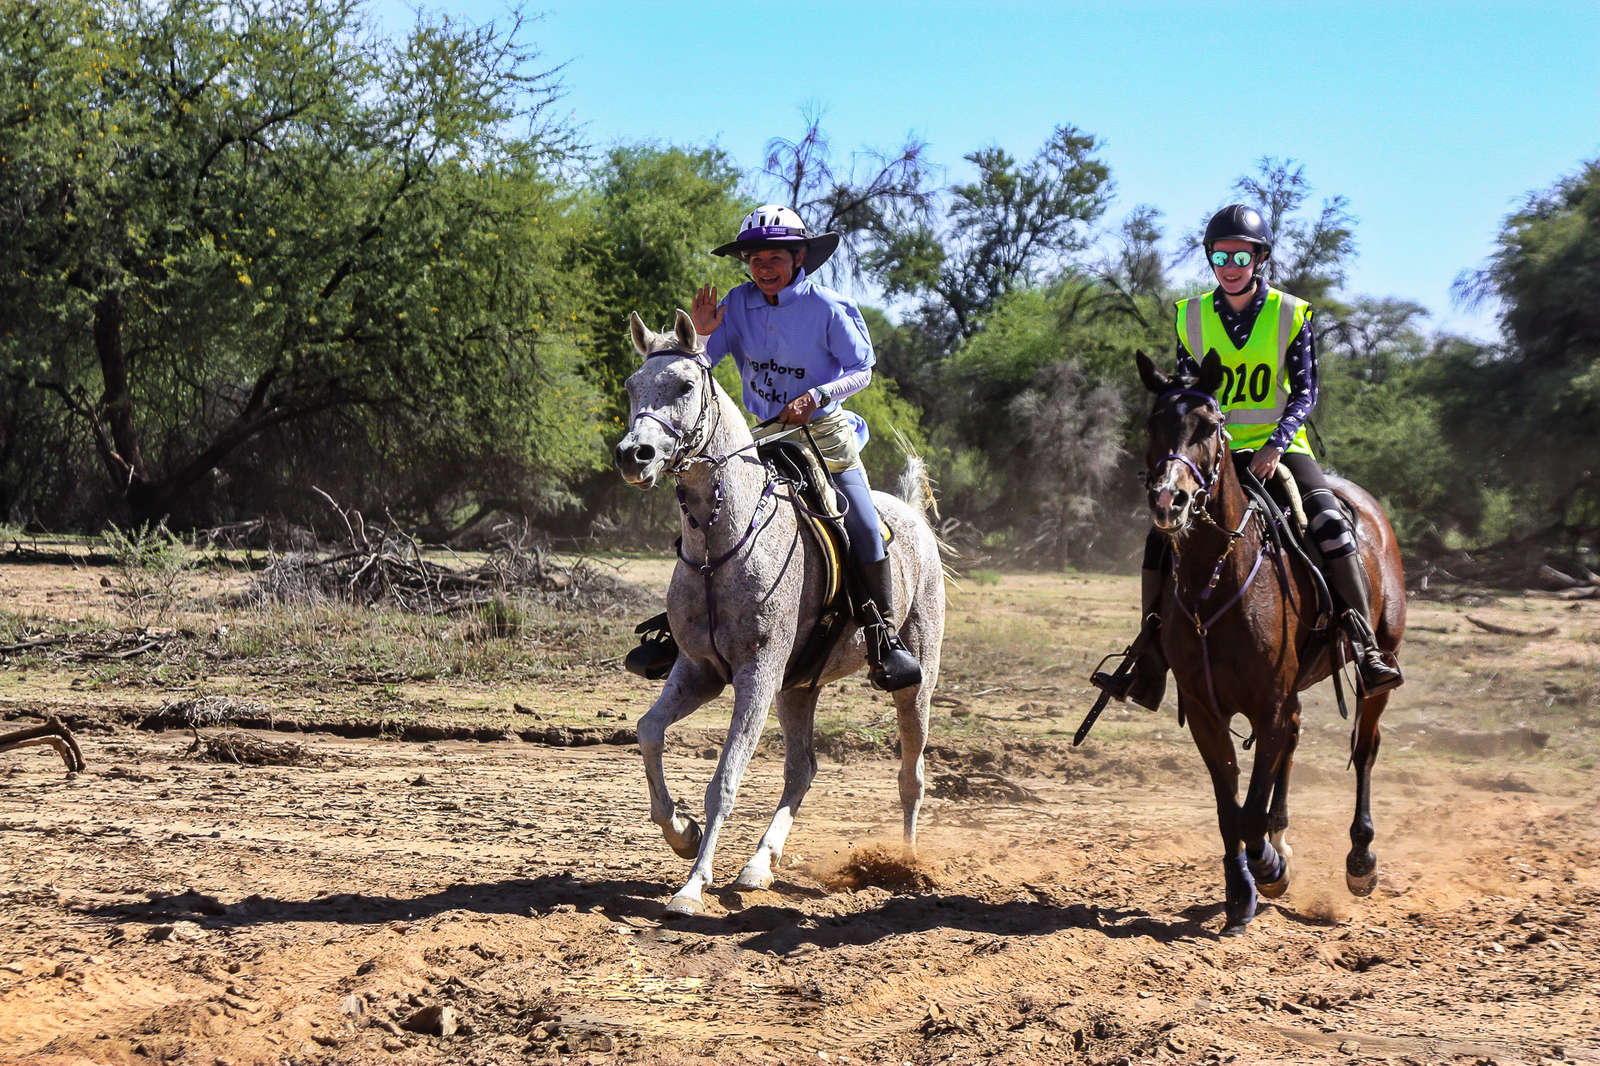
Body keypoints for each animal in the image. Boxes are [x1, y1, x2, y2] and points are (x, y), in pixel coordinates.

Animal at [612, 310, 946, 917]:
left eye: (686, 385)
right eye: (631, 386)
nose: (633, 456)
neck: (724, 540)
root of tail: (914, 519)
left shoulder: (757, 675)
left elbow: (725, 778)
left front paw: (691, 886)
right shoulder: (699, 671)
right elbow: (648, 732)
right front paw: (682, 833)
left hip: (916, 681)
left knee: (911, 774)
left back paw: (905, 864)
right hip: (798, 688)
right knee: (802, 769)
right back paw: (758, 864)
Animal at [1135, 349, 1405, 935]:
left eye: (1210, 425)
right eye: (1152, 424)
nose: (1170, 501)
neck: (1215, 581)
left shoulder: (1268, 704)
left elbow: (1250, 810)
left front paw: (1270, 869)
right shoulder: (1207, 711)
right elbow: (1230, 808)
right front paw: (1243, 892)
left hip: (1382, 662)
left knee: (1365, 748)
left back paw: (1360, 860)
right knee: (1295, 742)